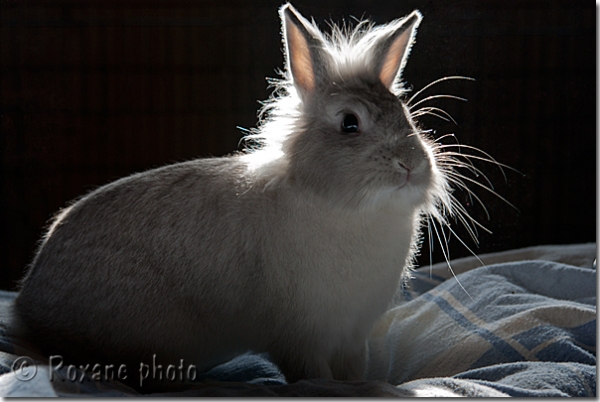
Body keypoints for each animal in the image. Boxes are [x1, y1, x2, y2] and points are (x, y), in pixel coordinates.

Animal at [11, 3, 452, 392]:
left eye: (406, 117)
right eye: (349, 123)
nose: (410, 164)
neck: (350, 208)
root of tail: (27, 315)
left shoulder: (351, 336)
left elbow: (353, 373)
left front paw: (369, 384)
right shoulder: (301, 336)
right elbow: (314, 376)